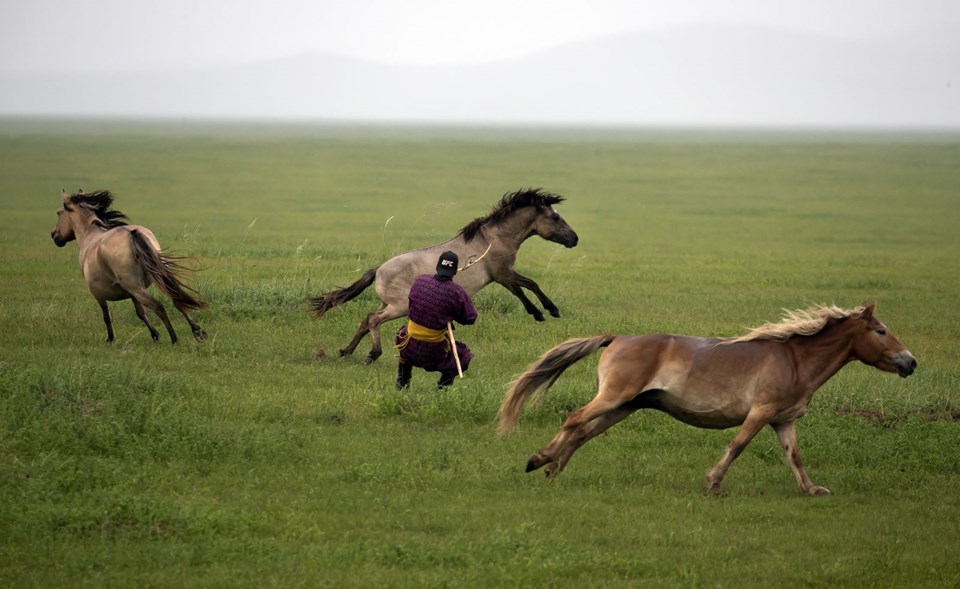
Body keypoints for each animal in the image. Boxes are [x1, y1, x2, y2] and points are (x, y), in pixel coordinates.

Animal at [51, 189, 207, 344]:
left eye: (59, 213)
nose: (54, 235)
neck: (89, 236)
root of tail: (131, 234)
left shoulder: (99, 295)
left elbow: (107, 316)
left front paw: (110, 339)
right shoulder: (131, 293)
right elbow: (141, 313)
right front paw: (155, 335)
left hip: (136, 287)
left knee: (158, 307)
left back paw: (174, 339)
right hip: (153, 278)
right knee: (176, 299)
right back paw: (197, 331)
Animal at [308, 188, 579, 364]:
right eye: (555, 217)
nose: (574, 239)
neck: (495, 237)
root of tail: (379, 270)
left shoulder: (502, 277)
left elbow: (523, 291)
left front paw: (540, 313)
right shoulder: (504, 274)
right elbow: (530, 285)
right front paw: (549, 311)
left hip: (388, 303)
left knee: (366, 320)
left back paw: (346, 351)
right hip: (399, 306)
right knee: (374, 320)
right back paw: (372, 354)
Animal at [499, 303, 917, 496]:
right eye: (881, 331)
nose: (910, 362)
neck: (796, 360)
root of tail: (616, 338)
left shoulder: (783, 419)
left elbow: (794, 456)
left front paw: (812, 490)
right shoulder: (760, 412)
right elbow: (737, 445)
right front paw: (714, 484)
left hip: (625, 406)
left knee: (584, 432)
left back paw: (554, 469)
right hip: (615, 397)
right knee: (574, 419)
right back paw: (540, 460)